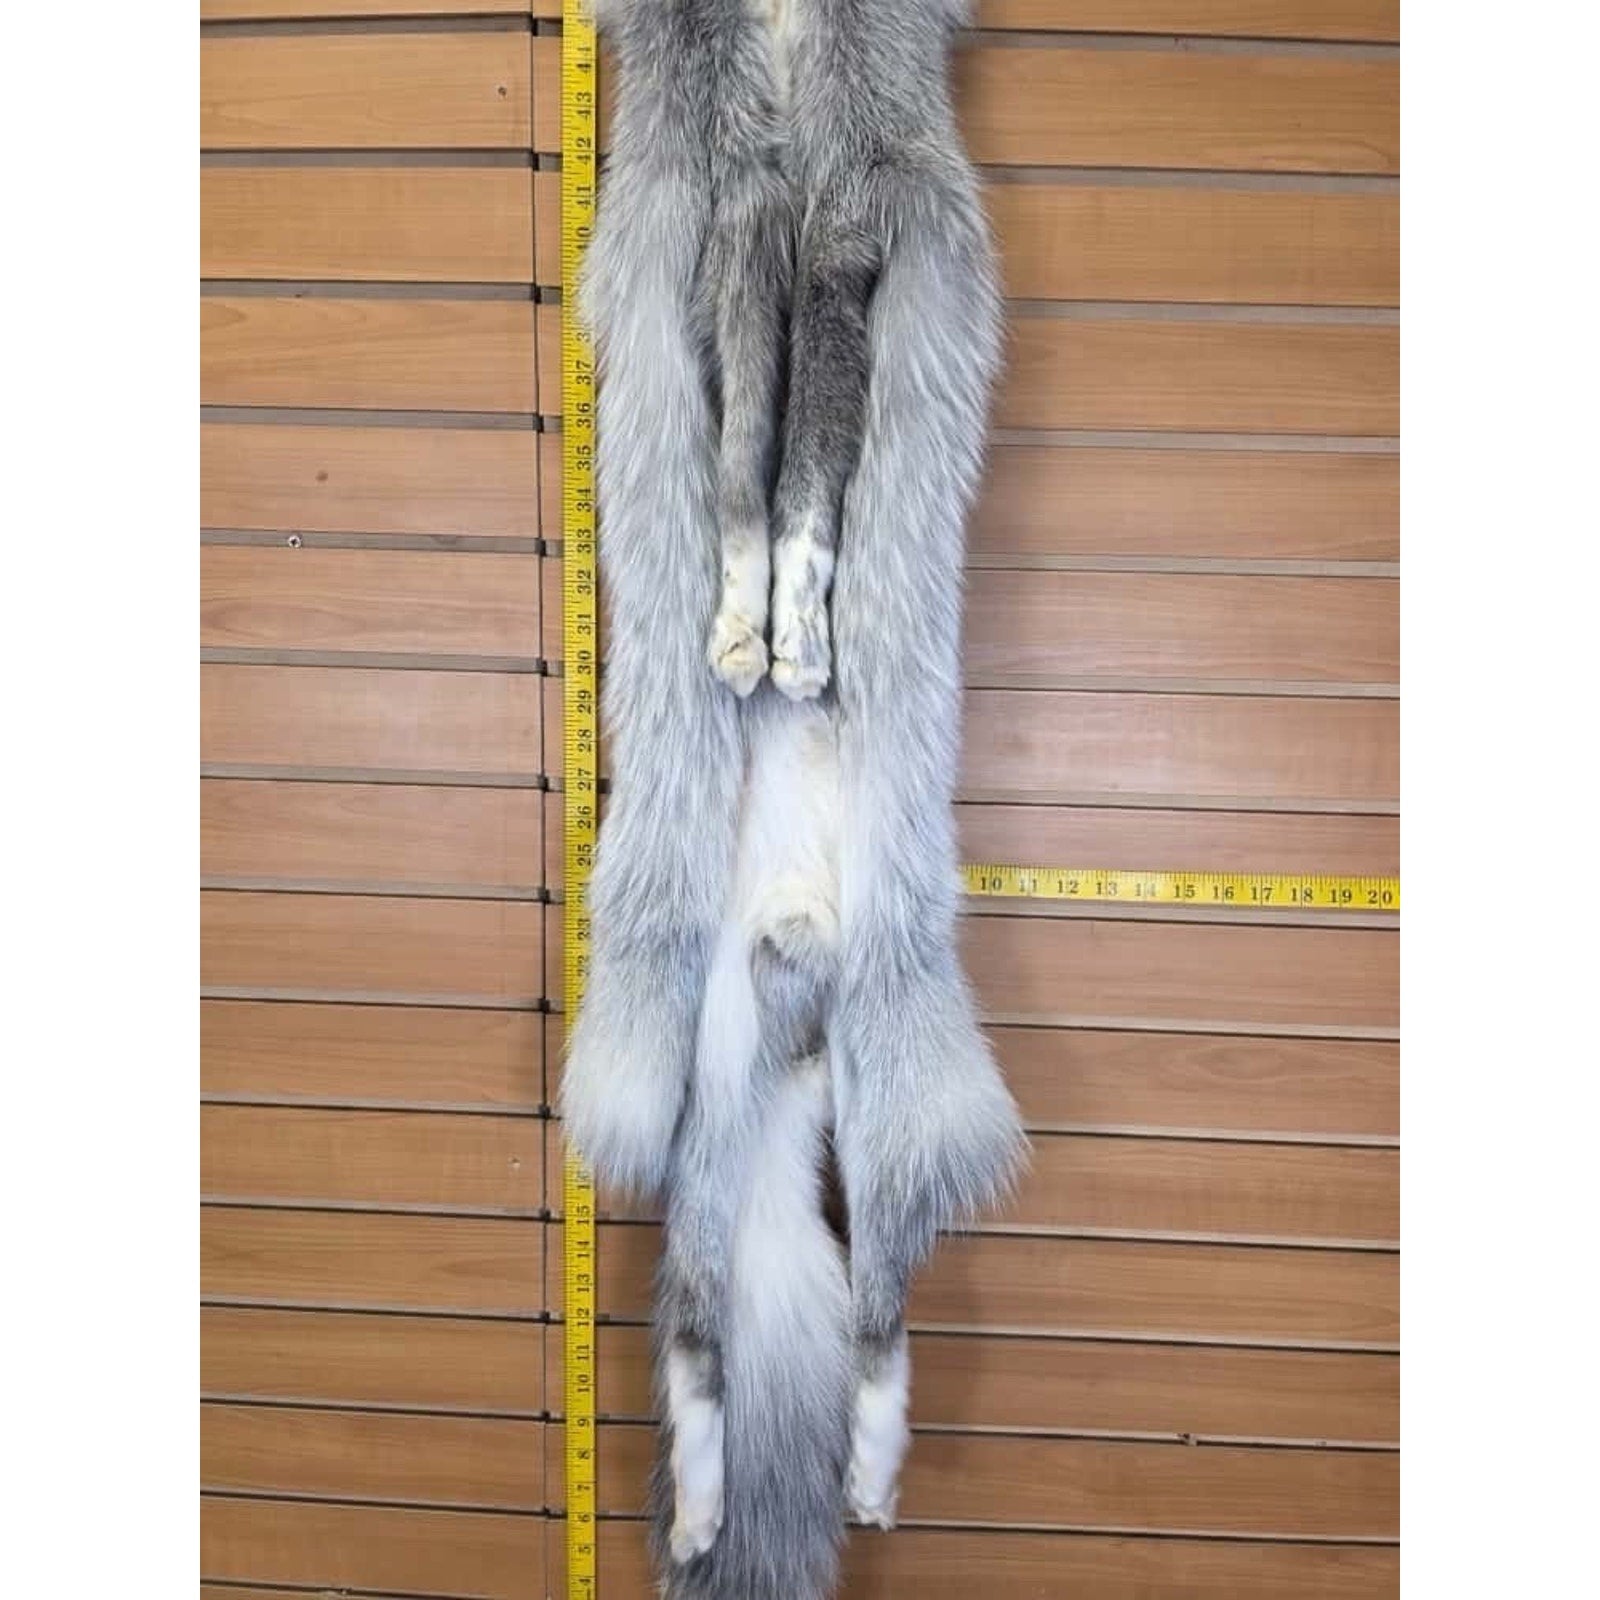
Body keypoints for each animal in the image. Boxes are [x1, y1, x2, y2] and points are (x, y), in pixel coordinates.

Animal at [559, 4, 1027, 1598]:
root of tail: (805, 945)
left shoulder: (839, 245)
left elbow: (808, 488)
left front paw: (799, 639)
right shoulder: (737, 235)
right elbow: (741, 489)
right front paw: (744, 634)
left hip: (888, 1106)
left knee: (880, 1318)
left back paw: (871, 1477)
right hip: (707, 1113)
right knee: (701, 1338)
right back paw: (707, 1510)